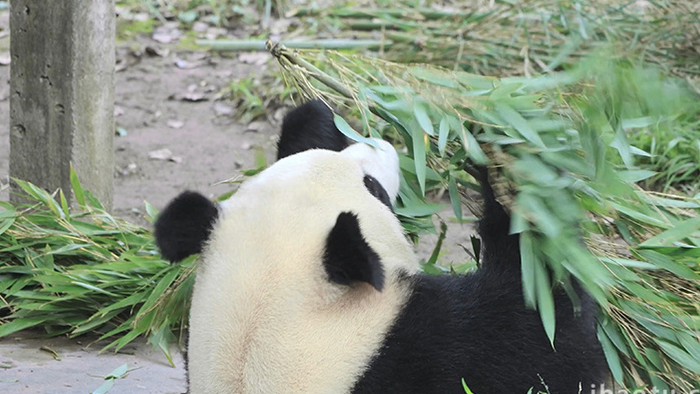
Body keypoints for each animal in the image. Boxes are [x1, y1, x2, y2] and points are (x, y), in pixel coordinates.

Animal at [153, 99, 608, 394]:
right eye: (373, 188)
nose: (382, 144)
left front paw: (314, 115)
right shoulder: (428, 352)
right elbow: (551, 336)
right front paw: (511, 160)